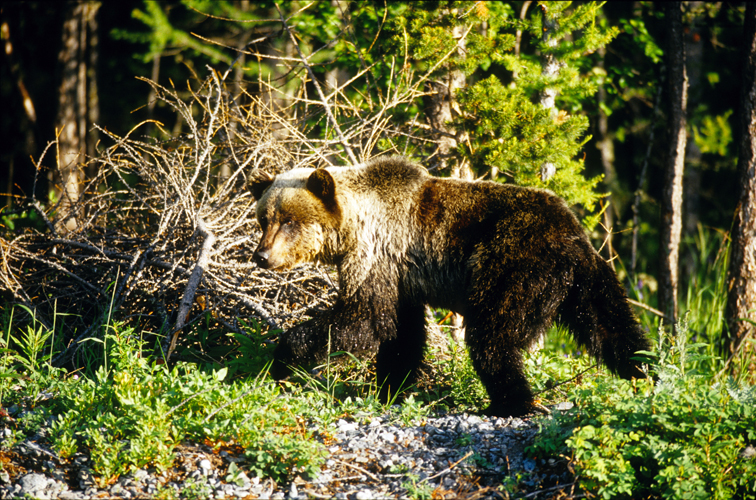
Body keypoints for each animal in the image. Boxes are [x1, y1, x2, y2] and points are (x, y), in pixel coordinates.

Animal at [250, 154, 648, 416]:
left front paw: (283, 360)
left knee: (493, 337)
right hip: (589, 280)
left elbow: (364, 319)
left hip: (512, 262)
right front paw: (390, 388)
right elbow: (401, 334)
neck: (352, 224)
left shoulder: (376, 252)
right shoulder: (401, 275)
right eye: (263, 219)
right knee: (612, 328)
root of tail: (571, 234)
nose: (261, 256)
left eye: (288, 221)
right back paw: (646, 372)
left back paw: (509, 403)